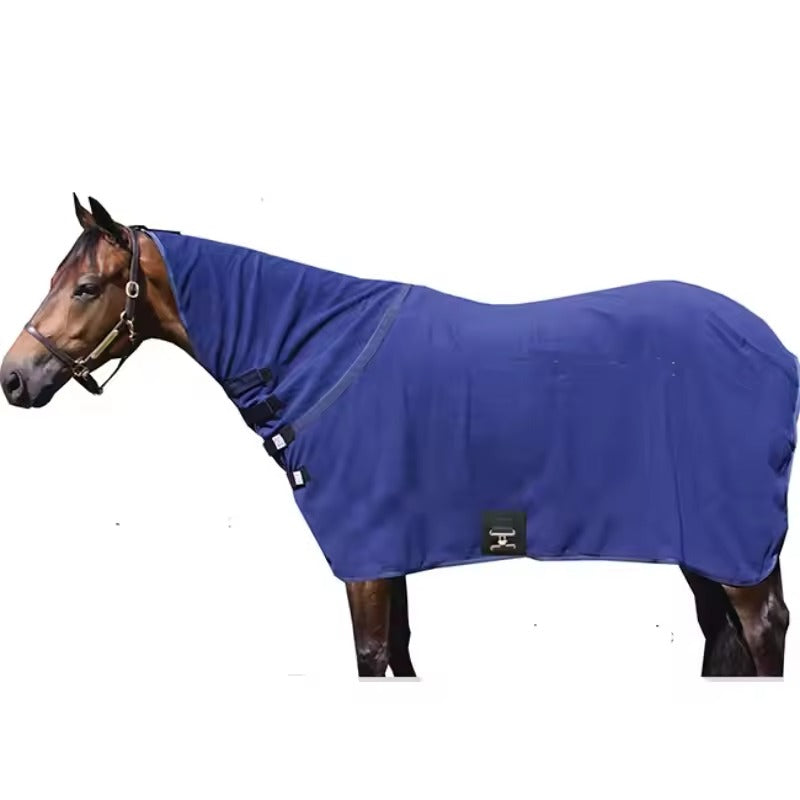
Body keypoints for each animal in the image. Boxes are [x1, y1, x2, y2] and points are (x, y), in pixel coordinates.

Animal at [1, 195, 795, 678]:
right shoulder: (390, 554)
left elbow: (373, 653)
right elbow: (401, 652)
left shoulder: (364, 560)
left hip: (732, 542)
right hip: (704, 541)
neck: (314, 350)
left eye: (85, 287)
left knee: (760, 627)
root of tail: (775, 350)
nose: (14, 376)